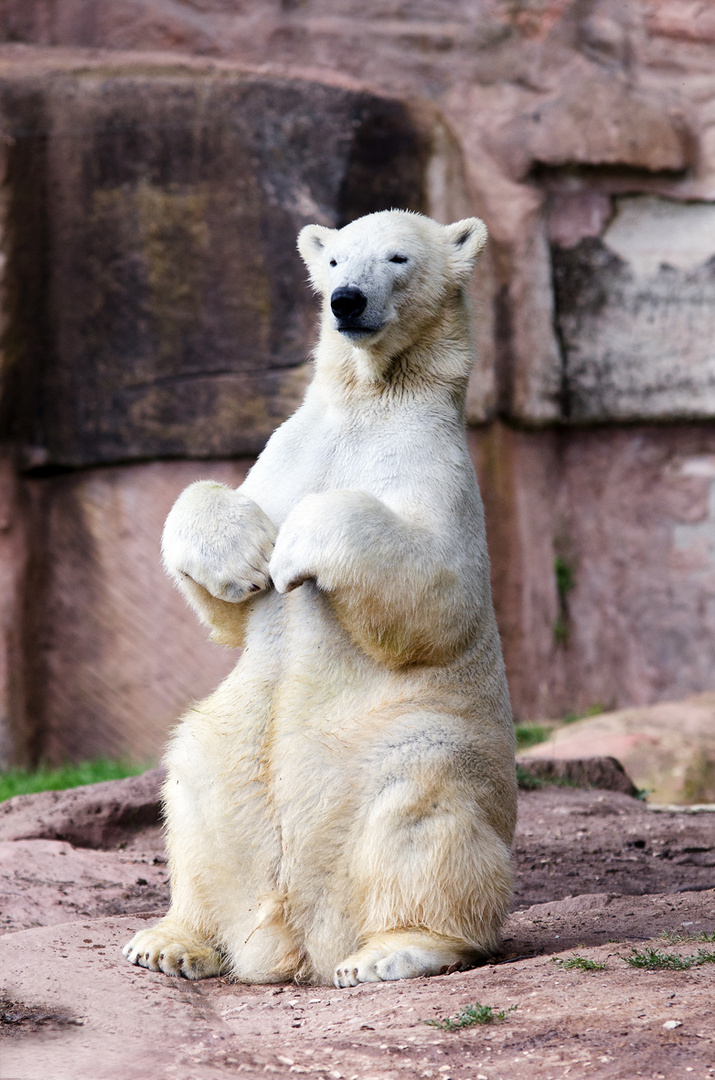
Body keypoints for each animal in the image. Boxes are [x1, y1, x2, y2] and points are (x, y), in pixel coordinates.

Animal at [123, 204, 516, 989]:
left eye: (396, 257)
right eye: (334, 261)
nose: (347, 301)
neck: (371, 398)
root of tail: (301, 941)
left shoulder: (437, 470)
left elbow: (441, 595)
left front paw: (296, 547)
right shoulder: (289, 449)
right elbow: (226, 601)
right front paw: (246, 559)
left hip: (412, 736)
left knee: (420, 807)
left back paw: (395, 948)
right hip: (236, 743)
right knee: (195, 788)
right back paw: (173, 941)